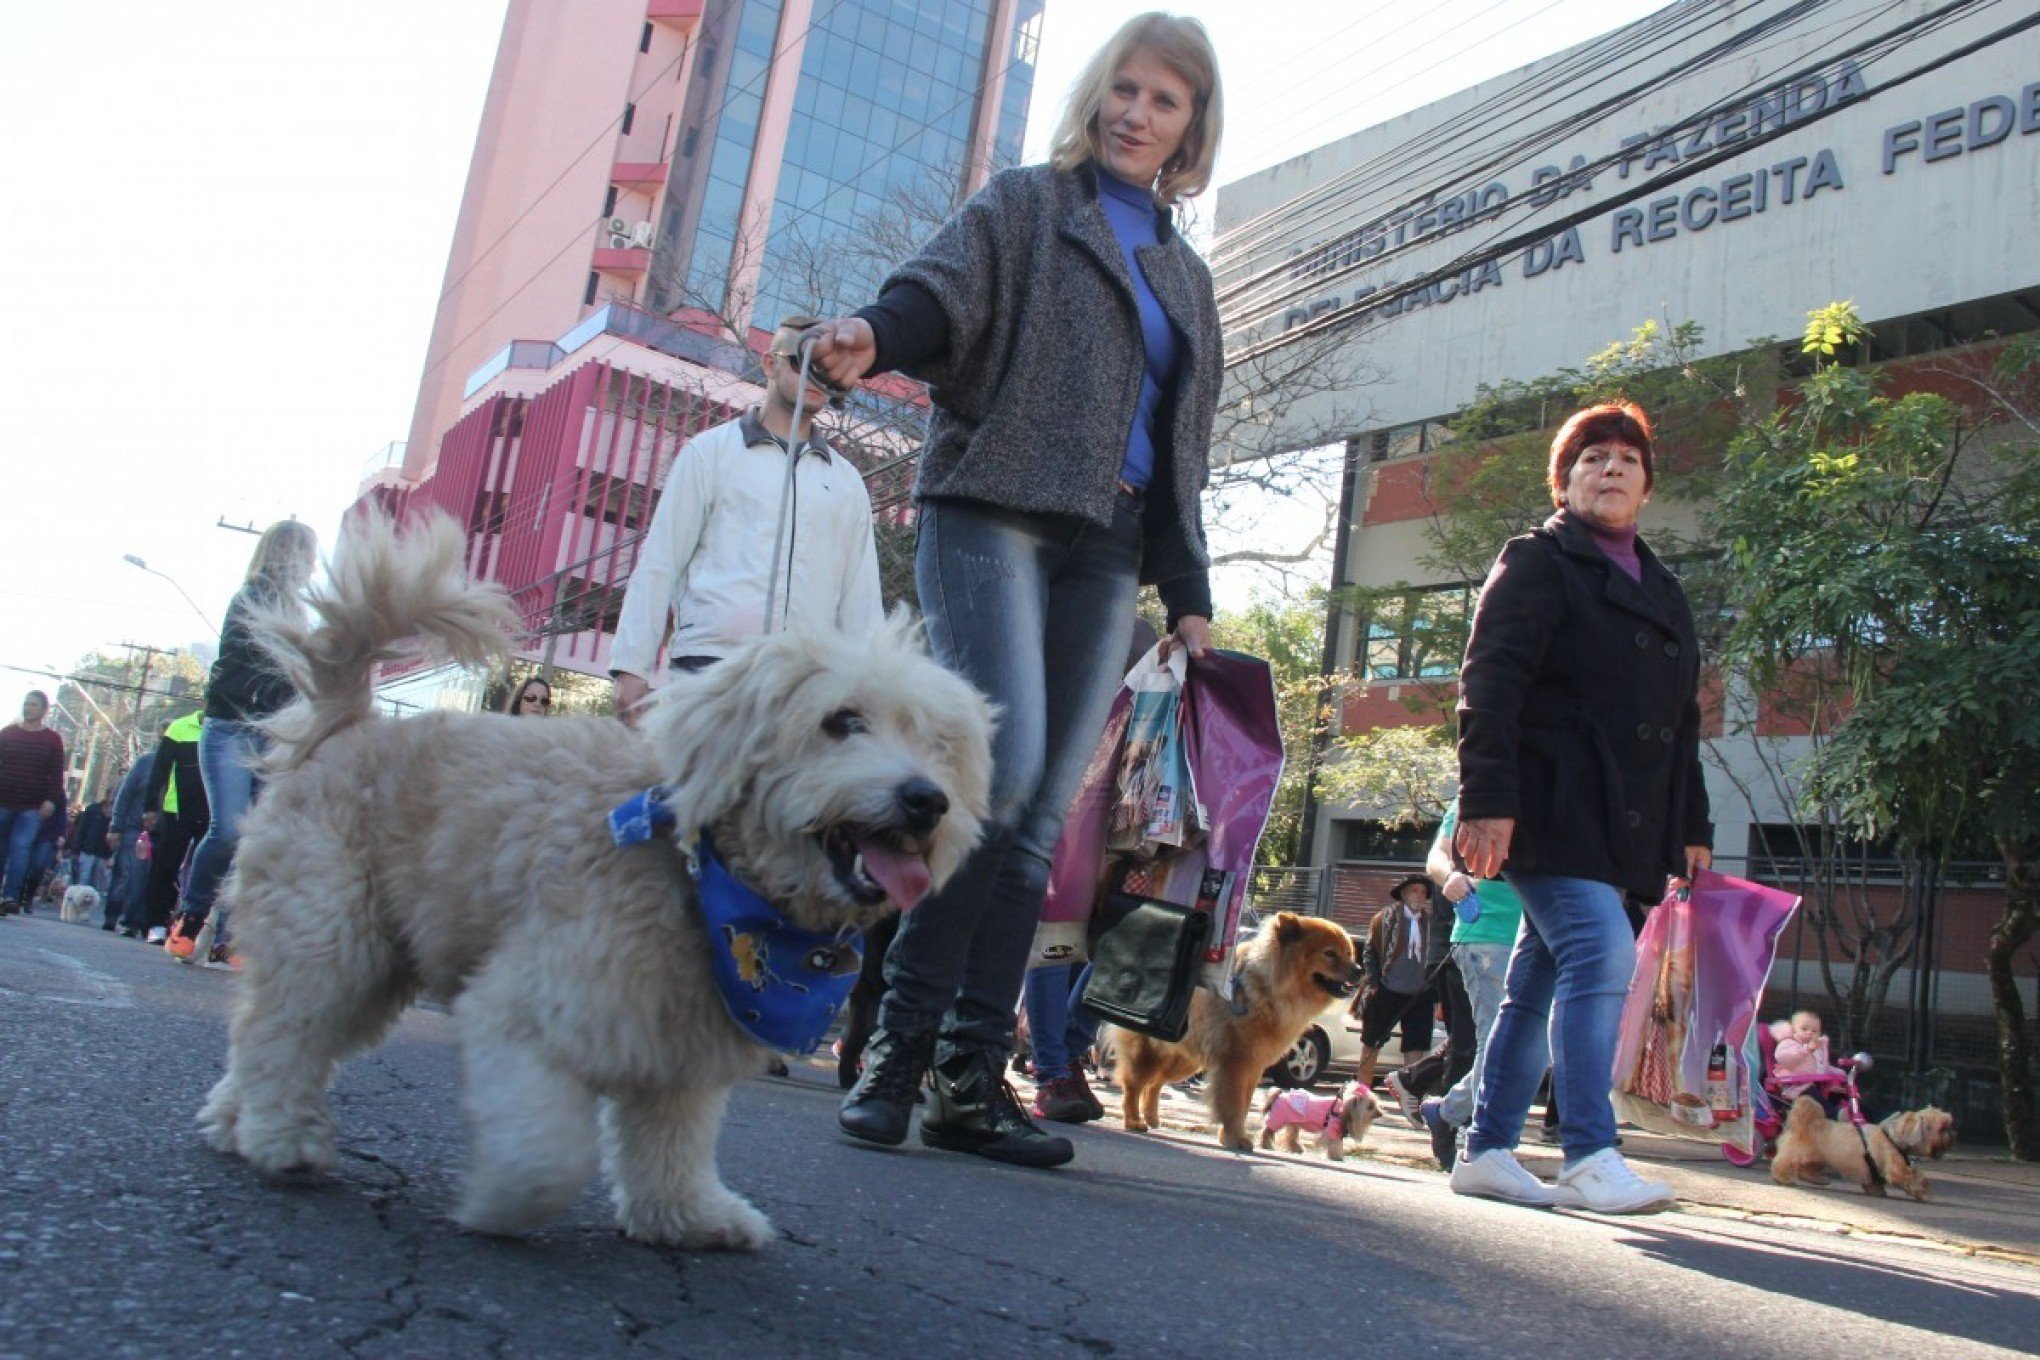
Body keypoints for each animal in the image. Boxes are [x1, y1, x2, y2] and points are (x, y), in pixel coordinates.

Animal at [194, 513, 991, 1256]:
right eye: (842, 721)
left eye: (938, 744)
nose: (928, 801)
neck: (705, 880)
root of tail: (351, 724)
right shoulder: (525, 1009)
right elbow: (549, 1152)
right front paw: (504, 1202)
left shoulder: (680, 1051)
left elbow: (672, 1144)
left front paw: (687, 1215)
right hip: (329, 936)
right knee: (282, 1035)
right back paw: (279, 1133)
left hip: (372, 958)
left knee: (274, 1033)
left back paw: (235, 1118)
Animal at [1117, 913, 1354, 1149]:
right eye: (1329, 954)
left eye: (1349, 954)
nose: (1358, 969)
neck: (1270, 990)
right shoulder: (1236, 1063)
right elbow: (1234, 1104)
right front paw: (1235, 1138)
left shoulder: (1253, 1065)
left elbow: (1244, 1104)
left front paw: (1232, 1137)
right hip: (1152, 1052)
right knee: (1134, 1085)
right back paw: (1133, 1121)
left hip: (1185, 1061)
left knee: (1154, 1083)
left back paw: (1152, 1118)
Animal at [1248, 1084, 1379, 1158]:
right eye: (1370, 1106)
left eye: (1376, 1104)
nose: (1380, 1113)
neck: (1343, 1109)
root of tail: (1278, 1095)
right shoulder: (1332, 1128)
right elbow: (1335, 1143)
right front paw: (1336, 1157)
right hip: (1279, 1118)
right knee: (1267, 1130)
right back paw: (1266, 1145)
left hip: (1294, 1122)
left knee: (1290, 1137)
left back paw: (1297, 1149)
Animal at [1770, 1092, 1958, 1198]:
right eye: (1942, 1128)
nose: (1953, 1134)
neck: (1894, 1138)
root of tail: (1807, 1122)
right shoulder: (1898, 1170)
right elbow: (1915, 1178)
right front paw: (1924, 1192)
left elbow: (1875, 1182)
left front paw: (1876, 1191)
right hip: (1798, 1153)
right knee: (1784, 1163)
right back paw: (1783, 1178)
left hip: (1818, 1158)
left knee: (1806, 1169)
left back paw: (1817, 1179)